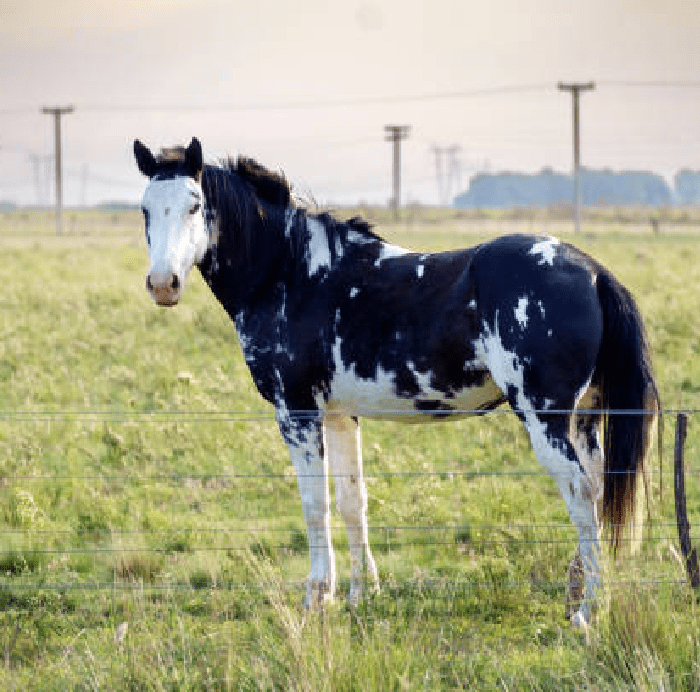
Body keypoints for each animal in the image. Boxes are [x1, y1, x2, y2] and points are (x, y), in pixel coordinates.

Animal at [133, 137, 660, 627]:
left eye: (194, 205)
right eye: (144, 208)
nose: (162, 285)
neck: (293, 274)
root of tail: (592, 272)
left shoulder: (297, 412)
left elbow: (314, 504)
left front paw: (316, 599)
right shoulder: (339, 415)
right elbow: (352, 501)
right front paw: (361, 594)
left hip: (545, 418)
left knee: (578, 492)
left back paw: (588, 610)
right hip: (584, 418)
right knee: (596, 489)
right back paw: (576, 593)